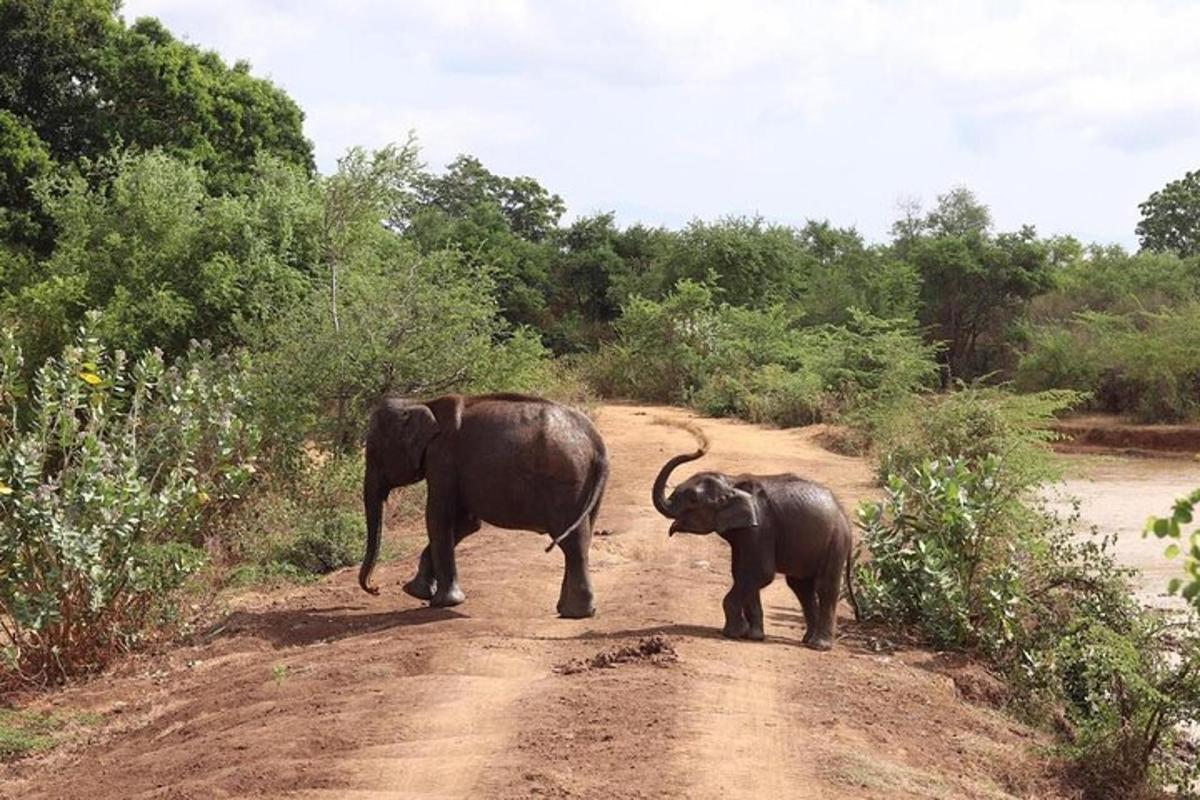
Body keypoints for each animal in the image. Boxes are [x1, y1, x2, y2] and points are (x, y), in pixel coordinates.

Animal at [352, 393, 600, 618]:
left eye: (374, 451)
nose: (375, 588)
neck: (421, 403)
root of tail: (595, 441)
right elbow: (467, 524)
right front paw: (416, 591)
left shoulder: (442, 460)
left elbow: (437, 518)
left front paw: (440, 601)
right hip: (585, 487)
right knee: (582, 538)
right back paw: (572, 610)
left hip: (566, 483)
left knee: (572, 542)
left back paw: (573, 613)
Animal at [657, 431, 854, 652]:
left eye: (692, 498)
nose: (701, 448)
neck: (732, 481)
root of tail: (845, 517)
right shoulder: (745, 534)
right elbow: (742, 573)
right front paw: (753, 635)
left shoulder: (761, 529)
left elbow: (760, 573)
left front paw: (733, 633)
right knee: (801, 587)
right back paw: (807, 640)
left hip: (835, 542)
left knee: (824, 586)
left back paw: (819, 646)